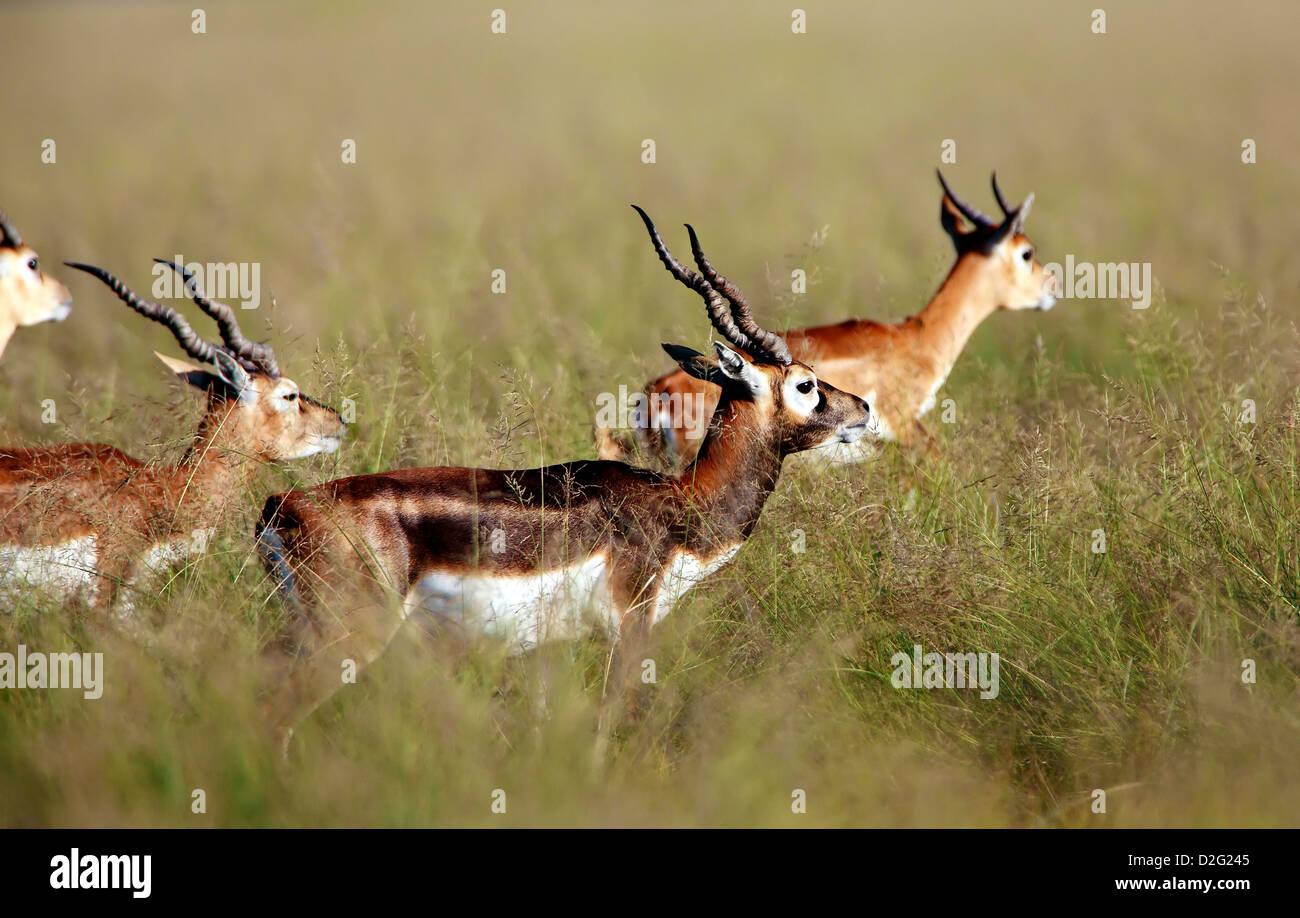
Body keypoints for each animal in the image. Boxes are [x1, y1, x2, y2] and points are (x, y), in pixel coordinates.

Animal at [256, 209, 873, 738]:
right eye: (806, 384)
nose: (863, 408)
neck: (680, 504)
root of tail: (284, 507)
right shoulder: (631, 625)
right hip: (346, 636)